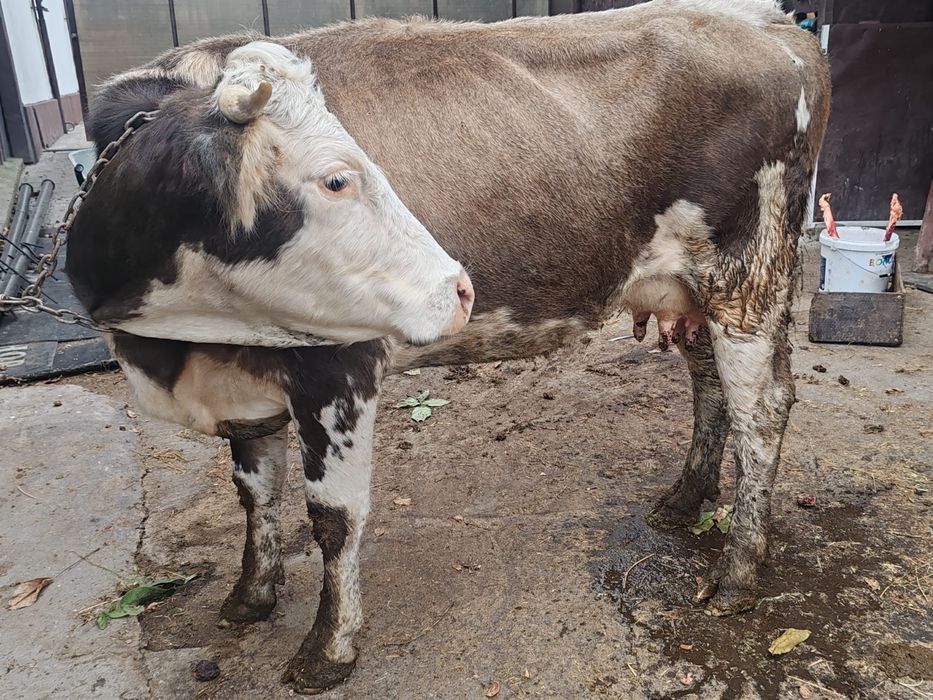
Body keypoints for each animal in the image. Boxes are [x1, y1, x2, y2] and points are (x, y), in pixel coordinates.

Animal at [66, 0, 830, 693]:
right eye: (337, 179)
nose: (456, 288)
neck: (174, 350)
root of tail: (769, 22)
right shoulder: (242, 387)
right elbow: (254, 493)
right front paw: (251, 596)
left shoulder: (336, 370)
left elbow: (333, 518)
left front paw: (328, 649)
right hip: (687, 290)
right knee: (710, 385)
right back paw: (685, 499)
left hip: (746, 278)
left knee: (763, 412)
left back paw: (736, 574)